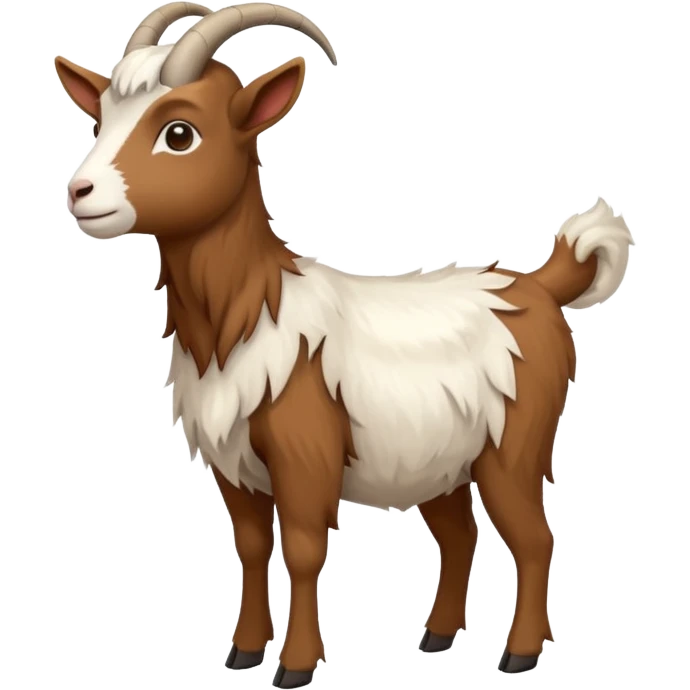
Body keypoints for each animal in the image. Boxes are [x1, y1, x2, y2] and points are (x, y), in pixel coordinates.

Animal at [54, 1, 635, 685]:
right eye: (100, 120)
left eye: (179, 132)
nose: (79, 192)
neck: (248, 315)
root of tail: (536, 285)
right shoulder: (234, 464)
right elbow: (251, 547)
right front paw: (243, 651)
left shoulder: (305, 453)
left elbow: (303, 550)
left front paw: (296, 665)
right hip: (440, 459)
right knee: (459, 535)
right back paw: (437, 636)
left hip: (514, 445)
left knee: (535, 538)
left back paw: (518, 654)